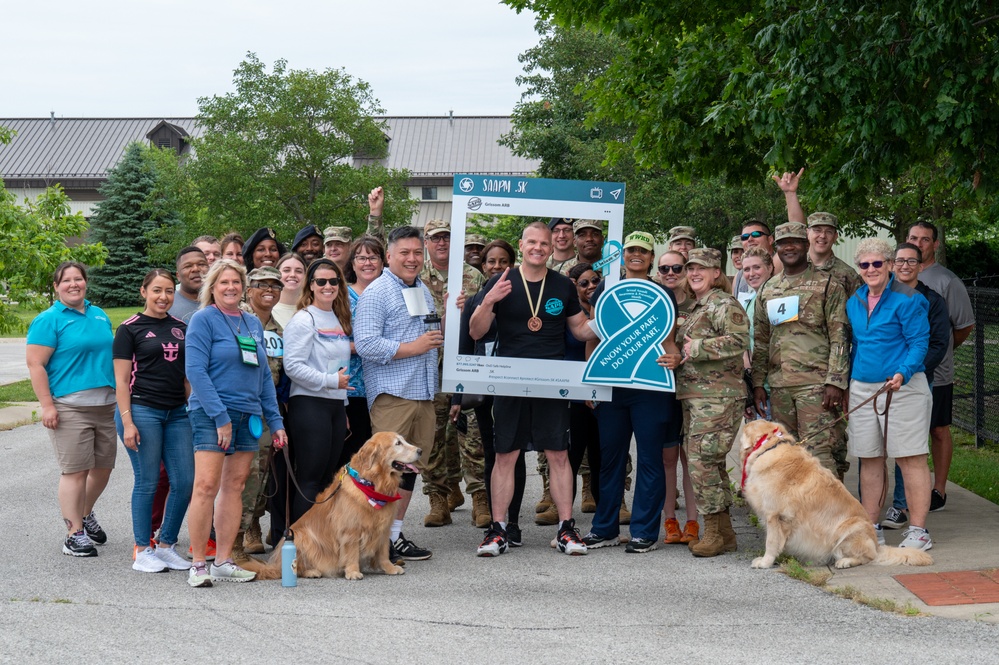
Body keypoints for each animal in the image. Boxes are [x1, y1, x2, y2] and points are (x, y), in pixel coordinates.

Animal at [247, 430, 426, 580]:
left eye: (403, 440)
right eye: (398, 443)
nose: (420, 450)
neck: (374, 485)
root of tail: (275, 565)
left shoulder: (382, 528)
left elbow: (382, 553)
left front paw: (390, 568)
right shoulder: (350, 530)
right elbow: (351, 552)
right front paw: (353, 571)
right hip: (301, 537)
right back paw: (311, 571)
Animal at [740, 422, 932, 568]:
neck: (769, 447)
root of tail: (877, 546)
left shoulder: (775, 516)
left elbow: (771, 542)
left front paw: (765, 562)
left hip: (849, 529)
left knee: (866, 557)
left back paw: (845, 562)